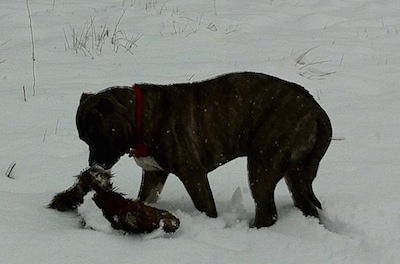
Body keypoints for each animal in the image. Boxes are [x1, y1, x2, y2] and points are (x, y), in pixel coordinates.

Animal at [49, 71, 332, 227]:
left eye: (97, 137)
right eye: (83, 139)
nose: (94, 165)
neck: (141, 116)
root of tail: (318, 113)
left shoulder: (192, 174)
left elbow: (206, 207)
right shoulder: (153, 174)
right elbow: (144, 200)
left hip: (262, 164)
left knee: (267, 212)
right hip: (296, 172)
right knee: (306, 204)